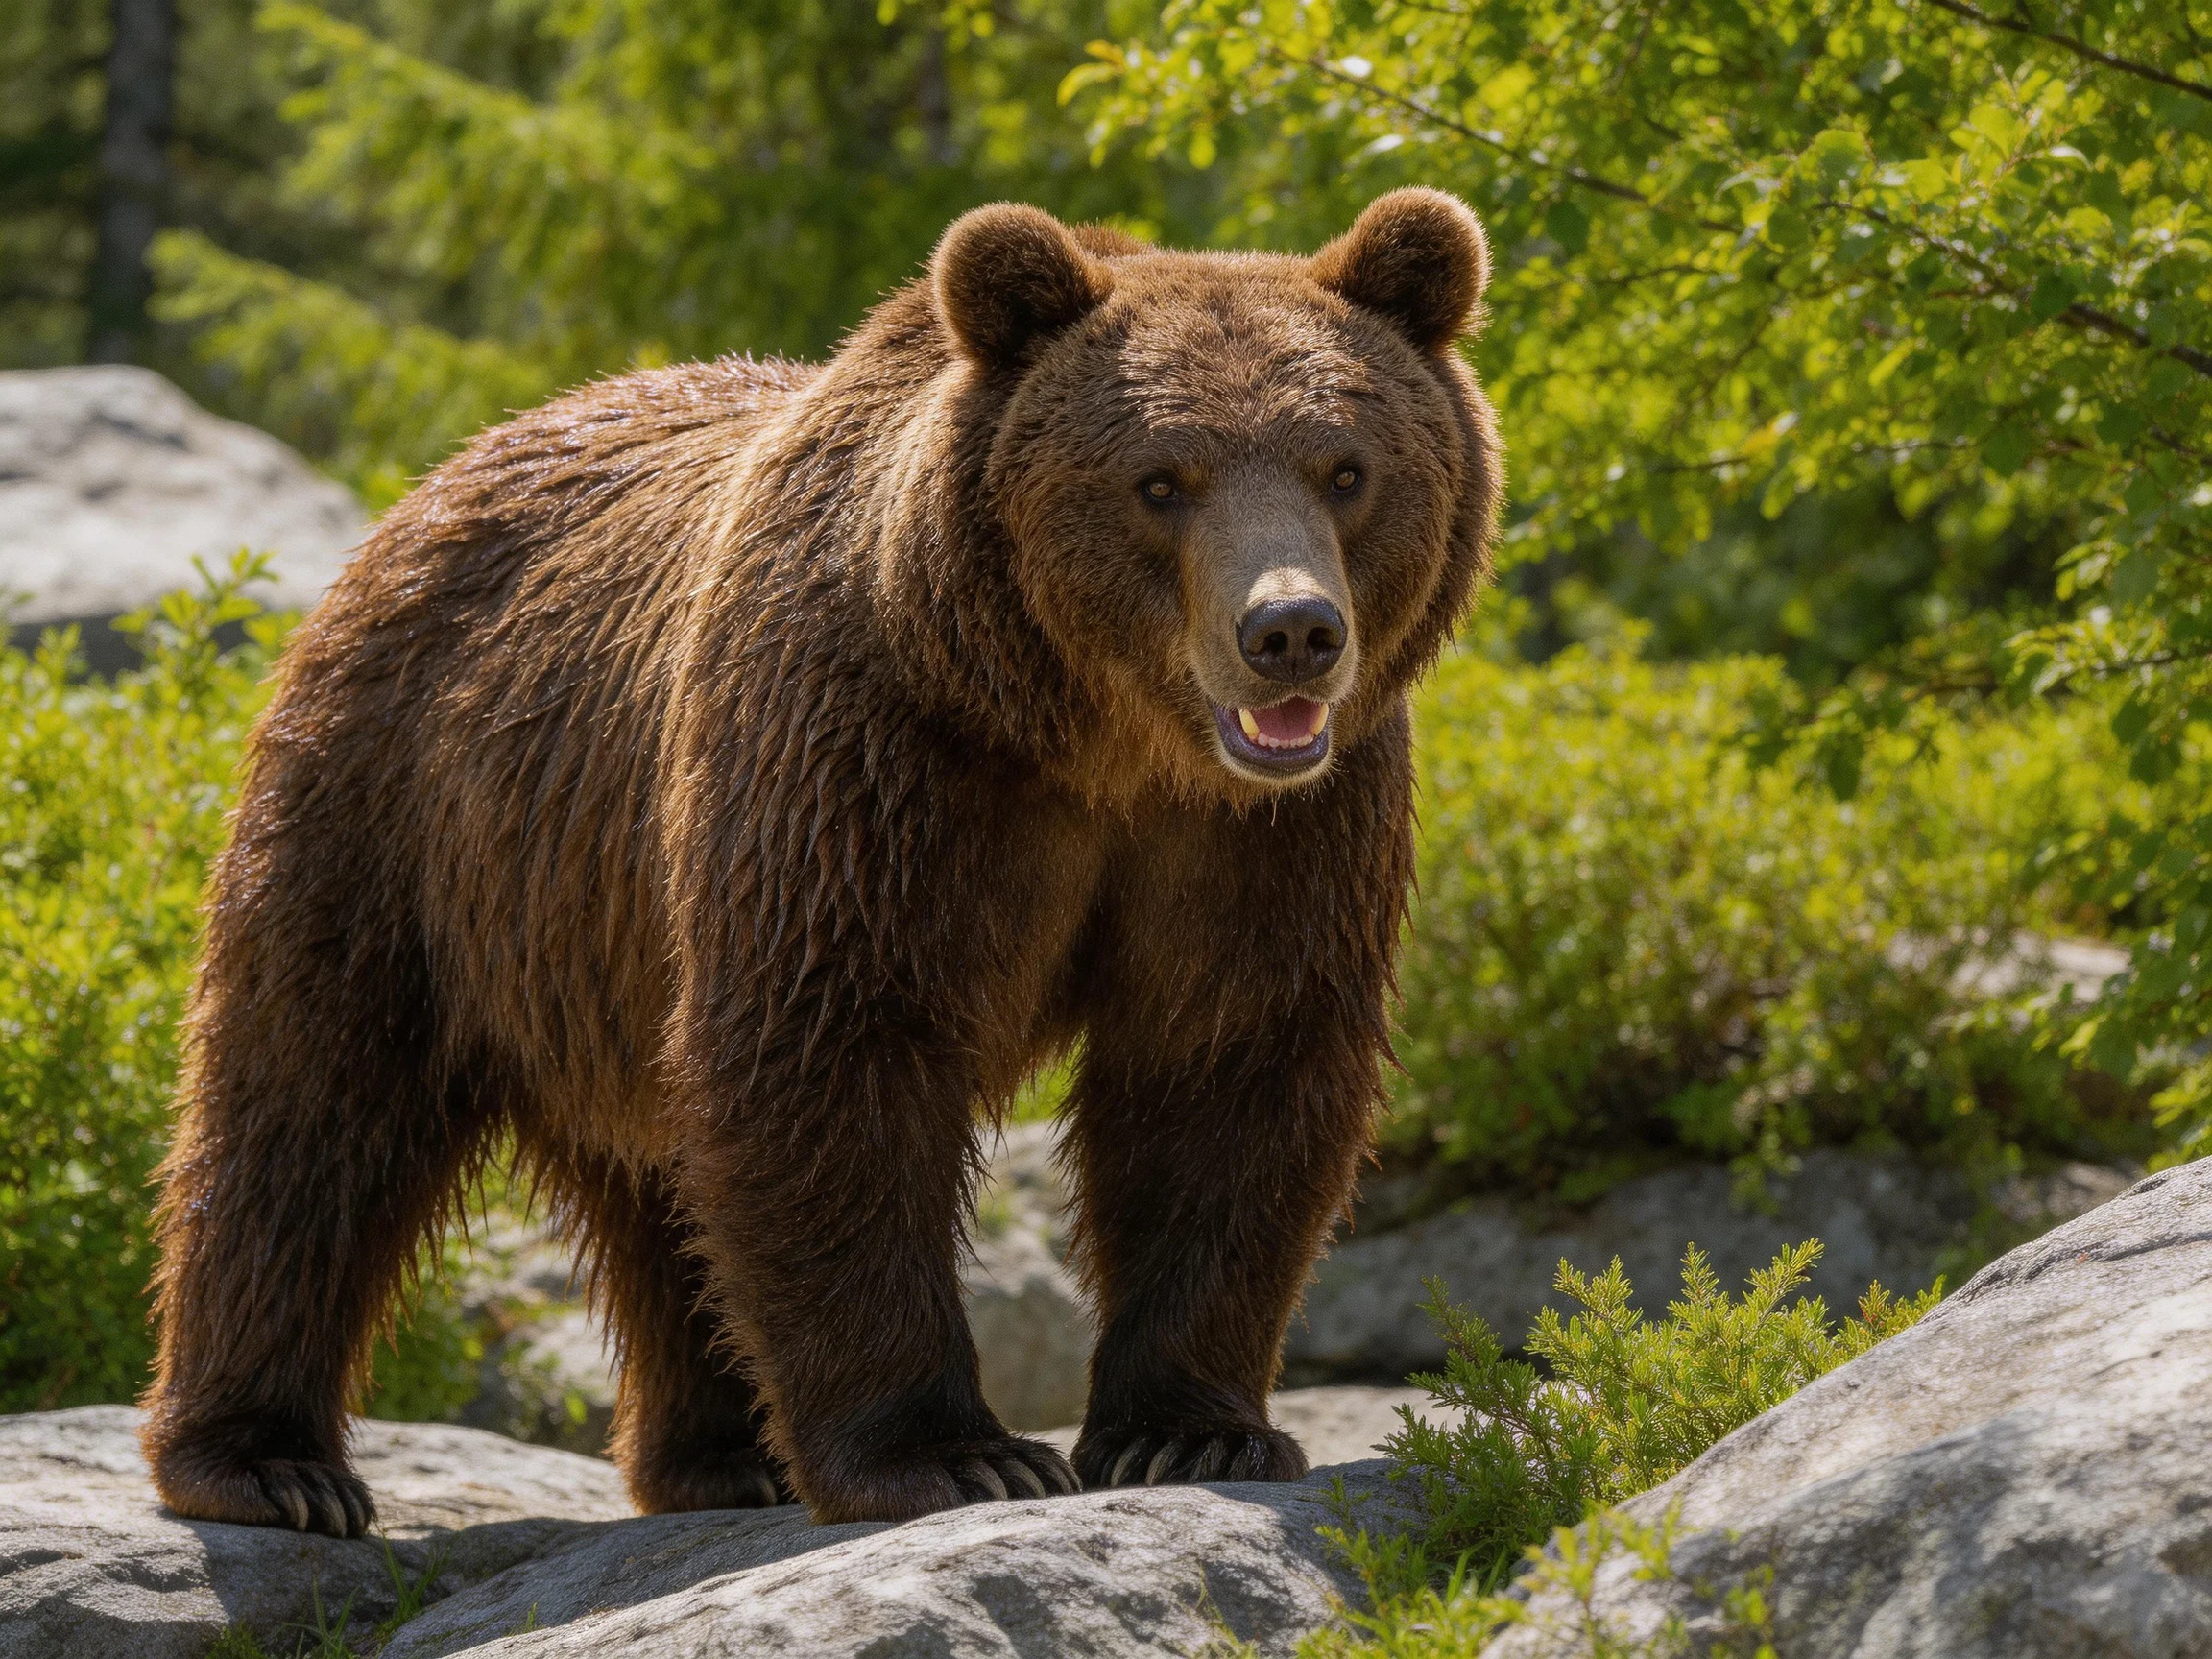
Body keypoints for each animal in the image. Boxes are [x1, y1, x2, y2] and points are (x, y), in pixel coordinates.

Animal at [137, 186, 1502, 1532]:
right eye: (1162, 479)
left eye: (1346, 468)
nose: (1291, 632)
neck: (1095, 739)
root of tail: (436, 480)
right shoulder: (870, 761)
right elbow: (831, 1050)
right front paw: (956, 1455)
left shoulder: (1271, 833)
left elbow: (1228, 1066)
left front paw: (1190, 1432)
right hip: (405, 815)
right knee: (309, 1104)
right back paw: (265, 1462)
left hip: (593, 932)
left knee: (656, 1178)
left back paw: (717, 1458)